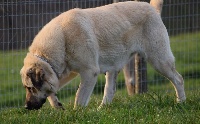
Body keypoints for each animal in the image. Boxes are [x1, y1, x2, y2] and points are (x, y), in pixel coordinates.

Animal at [20, 0, 186, 110]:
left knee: (178, 79)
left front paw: (77, 114)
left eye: (30, 88)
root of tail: (152, 9)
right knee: (110, 90)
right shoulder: (66, 72)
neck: (62, 40)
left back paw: (181, 102)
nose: (26, 106)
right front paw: (57, 105)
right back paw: (101, 110)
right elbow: (51, 90)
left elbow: (79, 97)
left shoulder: (89, 72)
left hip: (159, 60)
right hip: (114, 66)